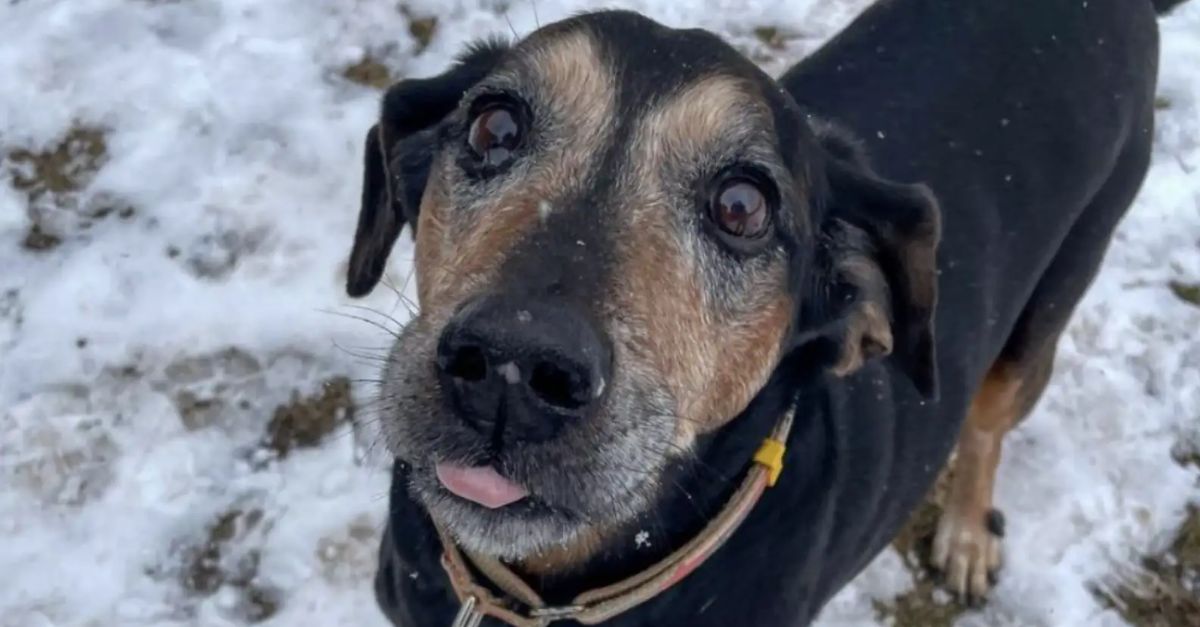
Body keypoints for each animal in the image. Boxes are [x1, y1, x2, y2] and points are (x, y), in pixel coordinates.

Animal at [343, 0, 1185, 619]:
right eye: (493, 125)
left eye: (743, 205)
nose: (511, 367)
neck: (552, 594)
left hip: (1055, 295)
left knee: (987, 423)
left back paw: (968, 534)